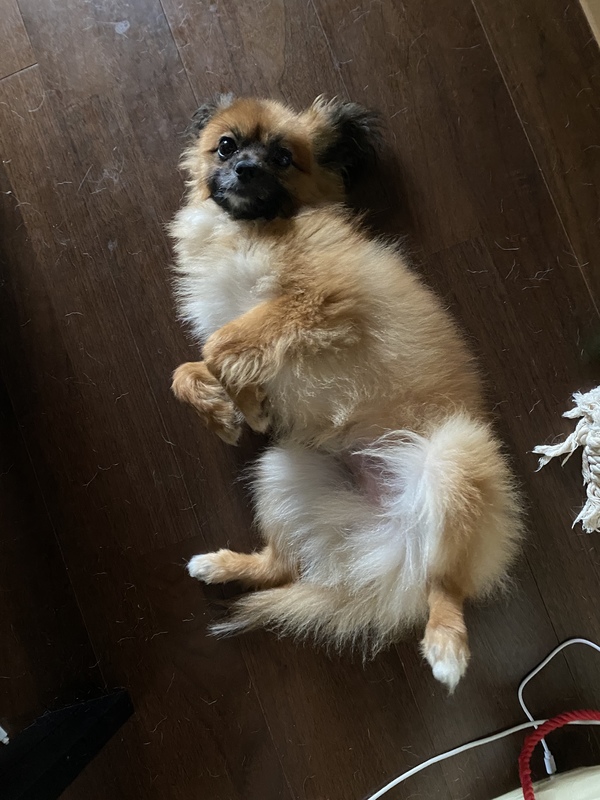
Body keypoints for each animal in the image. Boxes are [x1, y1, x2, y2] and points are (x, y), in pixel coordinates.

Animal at [170, 95, 523, 690]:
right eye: (226, 146)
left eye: (283, 158)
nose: (246, 169)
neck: (253, 229)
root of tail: (394, 534)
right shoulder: (253, 326)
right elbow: (188, 369)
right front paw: (232, 411)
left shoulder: (317, 301)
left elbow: (222, 346)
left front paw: (243, 404)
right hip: (281, 474)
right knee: (282, 564)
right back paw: (222, 565)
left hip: (454, 460)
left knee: (444, 582)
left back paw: (446, 644)